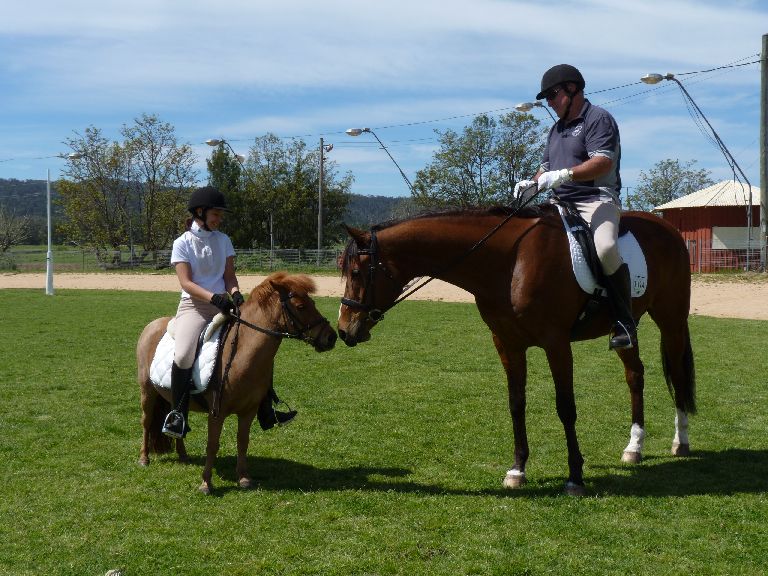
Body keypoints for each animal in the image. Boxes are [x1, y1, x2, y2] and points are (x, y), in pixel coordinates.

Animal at [137, 272, 337, 494]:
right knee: (146, 422)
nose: (331, 337)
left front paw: (243, 478)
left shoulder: (248, 411)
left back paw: (182, 454)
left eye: (313, 303)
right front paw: (206, 483)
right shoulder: (217, 413)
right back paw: (144, 458)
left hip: (174, 397)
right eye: (301, 306)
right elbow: (212, 444)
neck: (241, 354)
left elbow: (243, 442)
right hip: (147, 391)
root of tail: (152, 325)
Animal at [337, 204, 695, 495]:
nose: (343, 330)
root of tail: (668, 229)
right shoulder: (507, 343)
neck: (509, 262)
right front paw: (517, 470)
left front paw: (575, 476)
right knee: (635, 375)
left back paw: (681, 441)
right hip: (625, 329)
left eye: (356, 272)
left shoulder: (556, 343)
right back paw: (634, 447)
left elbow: (566, 407)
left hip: (671, 321)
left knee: (677, 375)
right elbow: (516, 403)